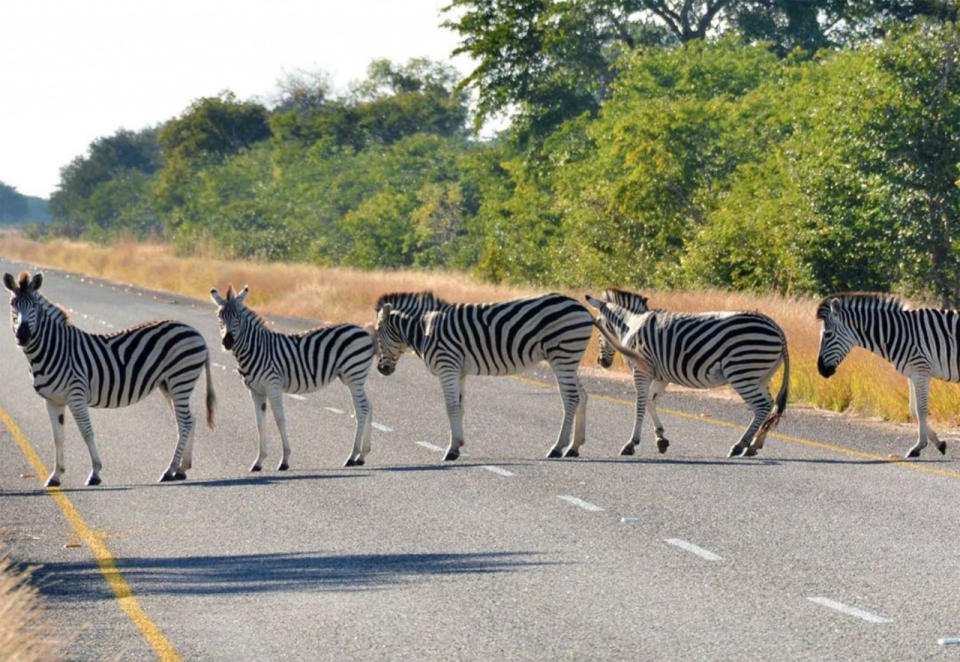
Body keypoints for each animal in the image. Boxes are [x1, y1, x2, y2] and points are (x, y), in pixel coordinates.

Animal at [4, 272, 218, 488]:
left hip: (180, 379)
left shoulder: (76, 396)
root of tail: (195, 332)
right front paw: (56, 475)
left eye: (34, 305)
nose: (22, 335)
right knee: (189, 421)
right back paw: (181, 469)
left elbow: (87, 433)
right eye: (13, 303)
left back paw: (170, 470)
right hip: (168, 385)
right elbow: (58, 437)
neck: (54, 349)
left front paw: (95, 473)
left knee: (184, 422)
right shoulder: (52, 400)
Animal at [210, 288, 376, 470]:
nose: (227, 342)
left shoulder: (273, 386)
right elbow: (260, 424)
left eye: (238, 317)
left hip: (353, 375)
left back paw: (352, 456)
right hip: (355, 377)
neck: (256, 348)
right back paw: (362, 455)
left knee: (362, 409)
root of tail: (362, 330)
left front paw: (284, 460)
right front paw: (259, 461)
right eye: (219, 317)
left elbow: (280, 420)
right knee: (368, 405)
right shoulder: (255, 391)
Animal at [374, 290, 592, 462]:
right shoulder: (459, 371)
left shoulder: (447, 367)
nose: (381, 369)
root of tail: (582, 307)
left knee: (571, 398)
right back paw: (573, 447)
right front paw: (458, 445)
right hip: (568, 360)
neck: (424, 330)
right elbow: (460, 408)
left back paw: (557, 447)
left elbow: (451, 408)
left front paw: (450, 451)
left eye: (377, 333)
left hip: (562, 355)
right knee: (582, 395)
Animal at [584, 290, 788, 462]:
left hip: (741, 372)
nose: (601, 362)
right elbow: (650, 400)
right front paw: (661, 438)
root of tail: (777, 327)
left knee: (761, 406)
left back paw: (740, 445)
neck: (631, 324)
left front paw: (631, 443)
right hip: (759, 376)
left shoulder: (641, 370)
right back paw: (754, 445)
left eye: (597, 329)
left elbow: (640, 404)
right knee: (770, 406)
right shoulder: (661, 376)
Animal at [812, 294, 956, 460]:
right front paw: (938, 443)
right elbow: (913, 409)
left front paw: (918, 447)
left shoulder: (921, 371)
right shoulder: (913, 373)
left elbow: (921, 410)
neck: (898, 333)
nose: (821, 370)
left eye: (827, 334)